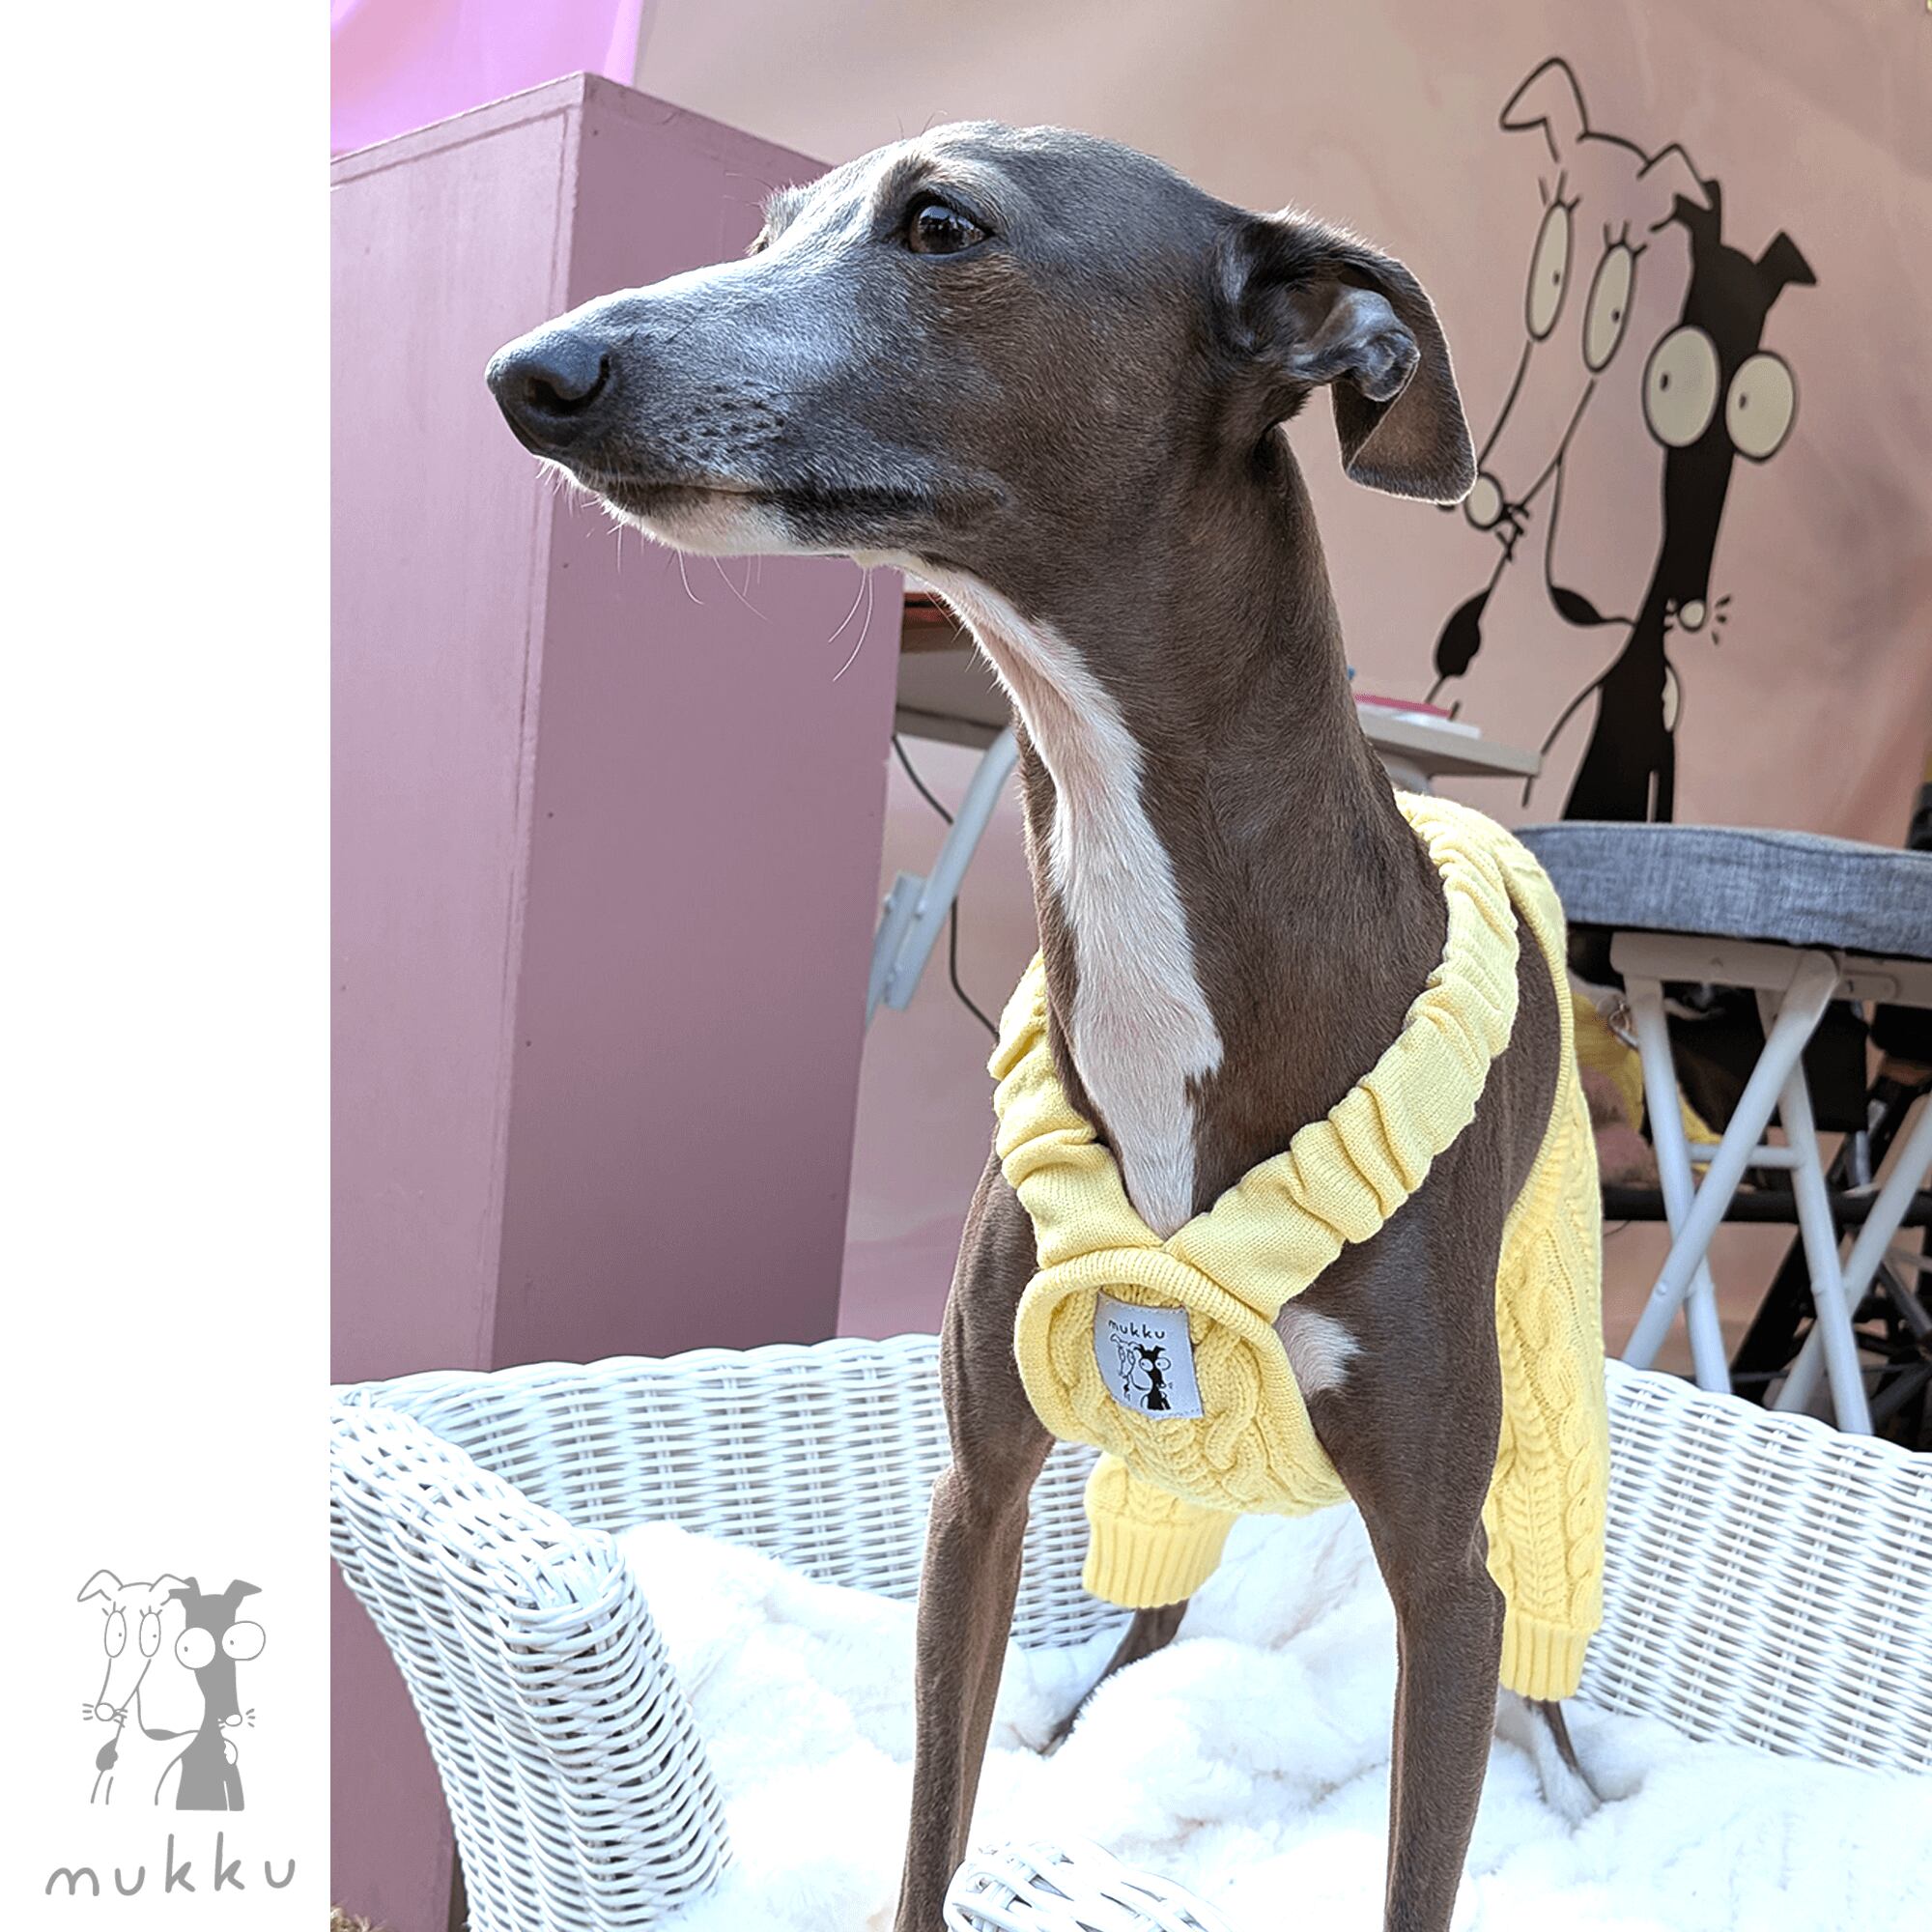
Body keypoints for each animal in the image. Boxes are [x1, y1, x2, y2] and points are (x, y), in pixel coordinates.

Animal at [488, 121, 1601, 1932]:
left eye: (944, 226)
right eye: (773, 227)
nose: (537, 371)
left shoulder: (1448, 1582)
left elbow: (1430, 1814)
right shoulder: (981, 1490)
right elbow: (932, 1824)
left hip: (1550, 1363)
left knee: (1555, 1612)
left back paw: (1569, 1781)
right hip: (1162, 1436)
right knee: (1159, 1585)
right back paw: (1104, 1713)